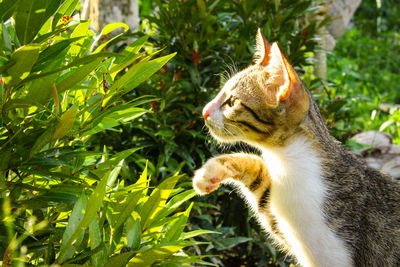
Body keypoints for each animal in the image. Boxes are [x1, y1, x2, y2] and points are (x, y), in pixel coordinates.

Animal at [191, 28, 400, 266]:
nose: (204, 111)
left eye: (232, 102)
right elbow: (259, 176)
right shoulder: (281, 221)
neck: (286, 162)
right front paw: (209, 173)